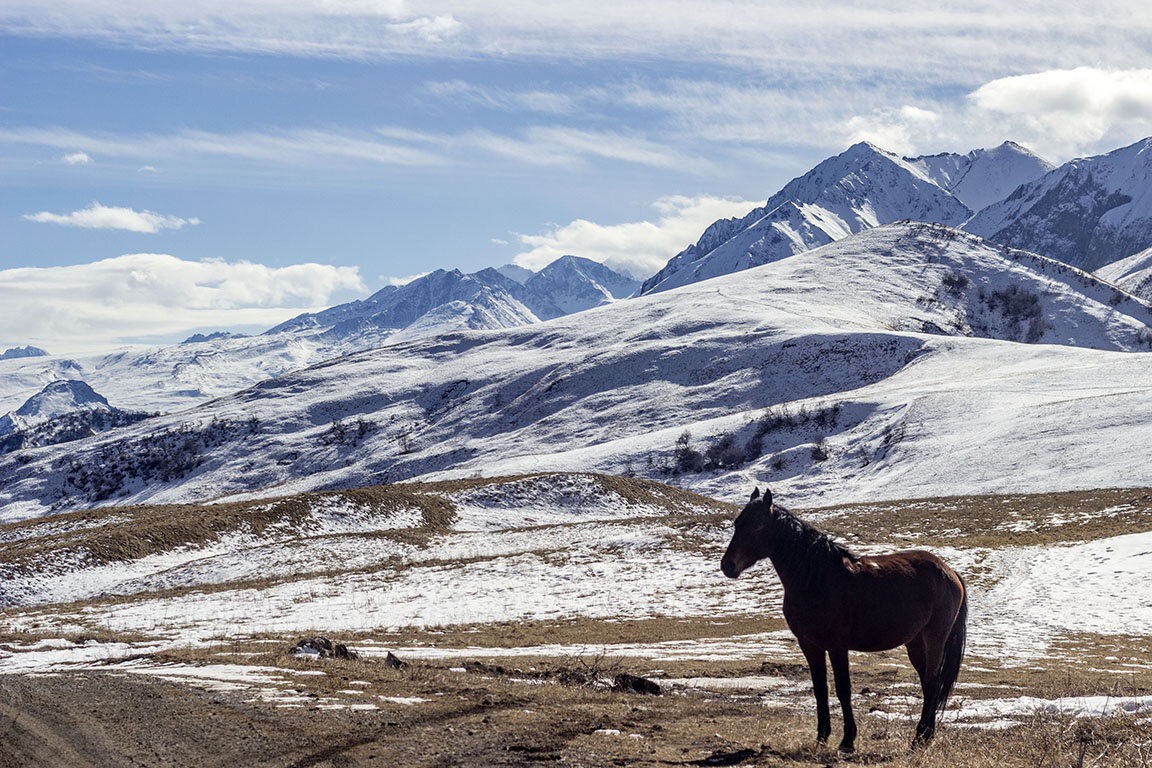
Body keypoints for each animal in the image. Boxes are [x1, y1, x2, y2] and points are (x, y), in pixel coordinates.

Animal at [714, 485, 967, 750]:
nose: (728, 566)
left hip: (934, 638)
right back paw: (924, 735)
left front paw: (847, 741)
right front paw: (821, 737)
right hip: (915, 642)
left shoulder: (837, 646)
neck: (815, 577)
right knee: (928, 683)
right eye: (737, 523)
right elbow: (820, 688)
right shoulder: (809, 645)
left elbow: (843, 688)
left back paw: (921, 738)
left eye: (757, 526)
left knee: (931, 682)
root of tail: (949, 571)